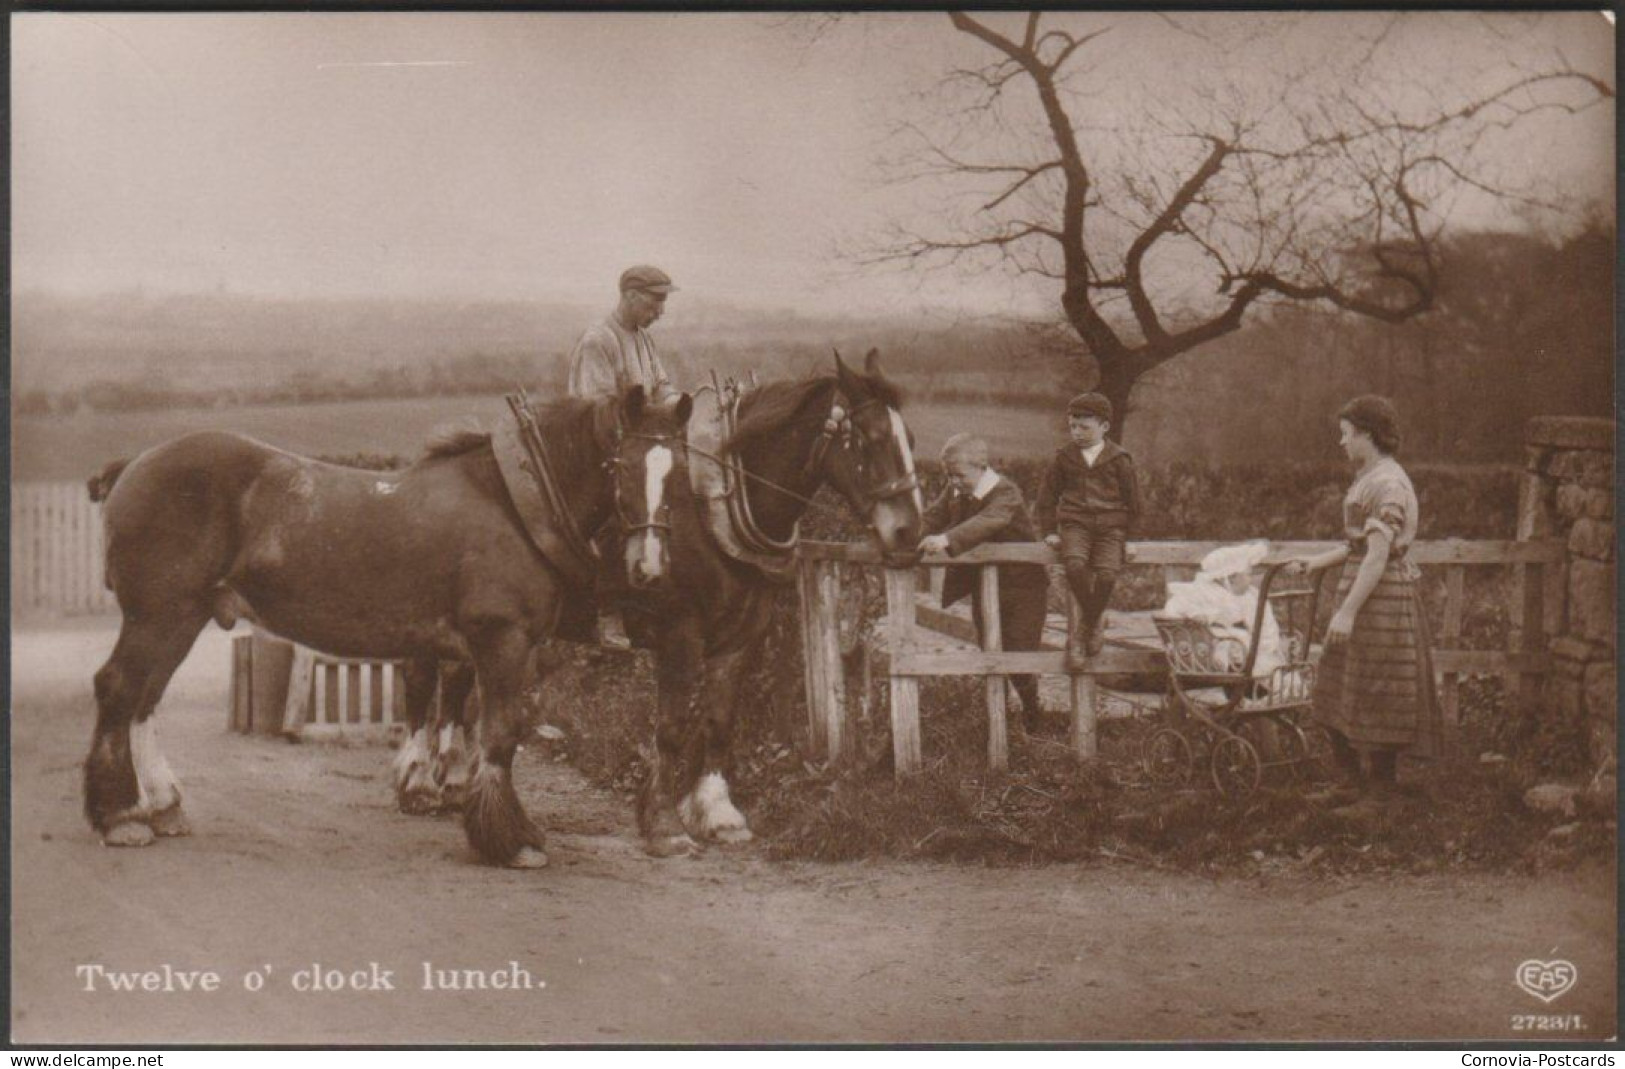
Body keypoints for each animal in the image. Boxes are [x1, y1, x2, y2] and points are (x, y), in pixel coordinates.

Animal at [87, 383, 692, 864]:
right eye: (622, 466)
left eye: (679, 473)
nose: (651, 567)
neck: (513, 503)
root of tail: (134, 465)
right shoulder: (502, 641)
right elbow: (499, 735)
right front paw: (510, 838)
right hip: (158, 614)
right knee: (120, 689)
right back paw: (121, 818)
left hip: (182, 617)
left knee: (144, 700)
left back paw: (160, 806)